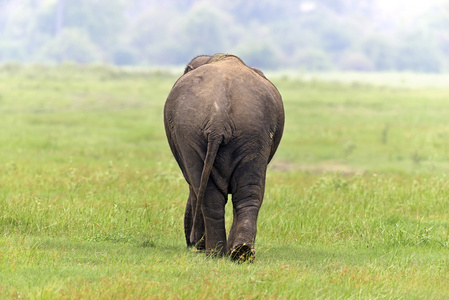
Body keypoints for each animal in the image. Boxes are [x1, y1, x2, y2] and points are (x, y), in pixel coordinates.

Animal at [164, 54, 284, 262]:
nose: (190, 243)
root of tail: (218, 121)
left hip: (206, 133)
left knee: (206, 192)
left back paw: (216, 253)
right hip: (251, 133)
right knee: (246, 192)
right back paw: (240, 252)